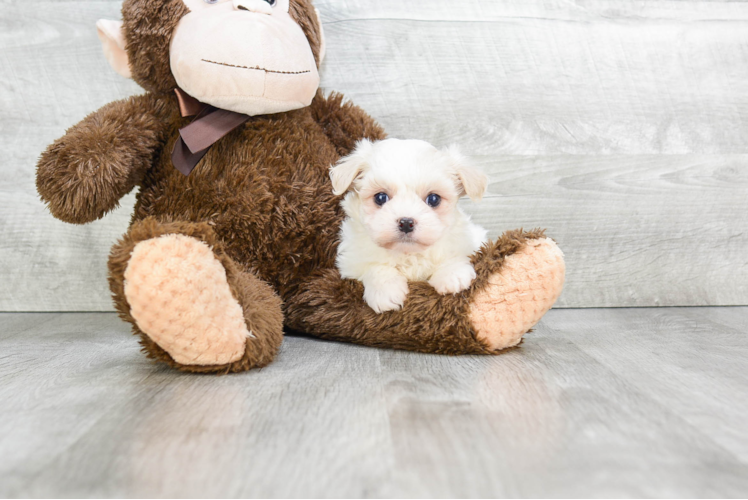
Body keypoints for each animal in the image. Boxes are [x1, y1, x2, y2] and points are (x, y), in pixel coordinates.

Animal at [330, 137, 488, 314]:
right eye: (380, 197)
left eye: (433, 199)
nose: (406, 222)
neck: (408, 253)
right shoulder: (351, 262)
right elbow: (374, 266)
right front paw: (385, 291)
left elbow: (452, 252)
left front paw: (451, 273)